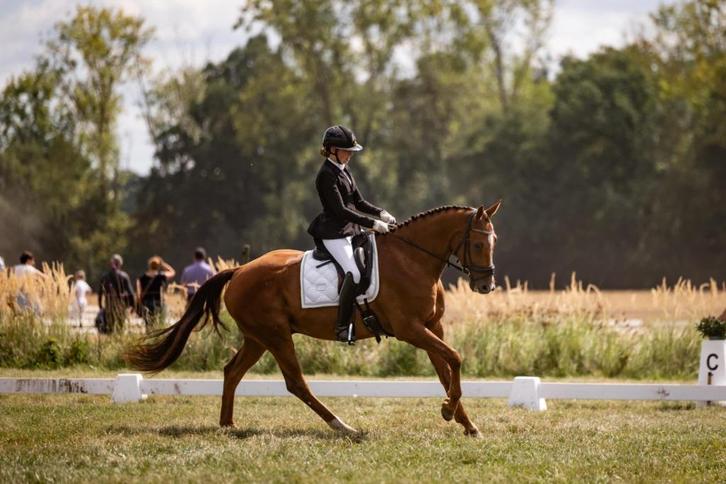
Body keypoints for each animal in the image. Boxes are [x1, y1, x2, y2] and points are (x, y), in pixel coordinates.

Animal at [125, 201, 501, 437]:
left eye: (493, 242)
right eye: (479, 245)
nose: (486, 286)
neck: (412, 260)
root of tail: (240, 270)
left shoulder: (431, 327)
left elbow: (446, 371)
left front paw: (465, 423)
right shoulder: (411, 329)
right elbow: (455, 358)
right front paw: (449, 412)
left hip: (258, 338)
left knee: (232, 372)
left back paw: (227, 424)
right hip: (276, 336)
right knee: (296, 383)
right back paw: (343, 427)